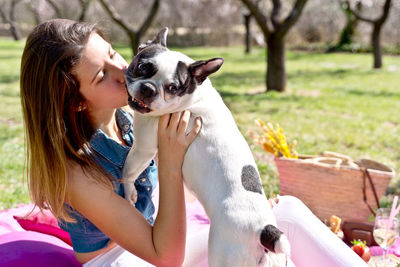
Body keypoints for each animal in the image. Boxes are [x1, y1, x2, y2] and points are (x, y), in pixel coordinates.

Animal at [122, 28, 290, 266]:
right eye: (143, 67)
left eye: (172, 88)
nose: (148, 88)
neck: (193, 98)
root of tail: (264, 229)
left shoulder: (143, 147)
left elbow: (128, 170)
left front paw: (128, 192)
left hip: (222, 252)